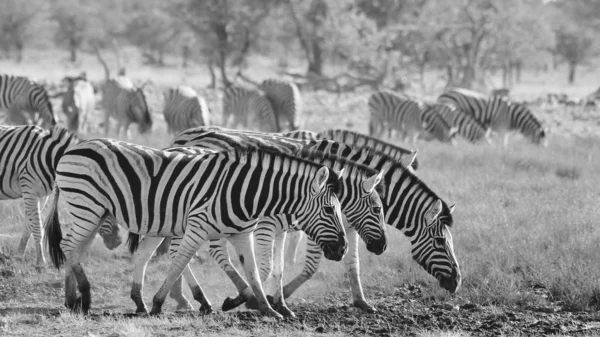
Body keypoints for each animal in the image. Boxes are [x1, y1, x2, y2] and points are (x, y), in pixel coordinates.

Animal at [0, 124, 120, 264]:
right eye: (105, 205)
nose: (118, 241)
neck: (50, 158)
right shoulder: (29, 189)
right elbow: (37, 226)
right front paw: (41, 261)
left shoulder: (41, 195)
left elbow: (28, 226)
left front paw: (19, 255)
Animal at [45, 140, 346, 318]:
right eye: (329, 210)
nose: (342, 249)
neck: (245, 191)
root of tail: (73, 148)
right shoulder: (198, 225)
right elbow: (179, 262)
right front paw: (158, 304)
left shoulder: (242, 234)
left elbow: (254, 273)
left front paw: (267, 308)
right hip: (87, 205)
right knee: (68, 246)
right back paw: (85, 297)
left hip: (95, 212)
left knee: (79, 249)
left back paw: (76, 300)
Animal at [158, 125, 384, 316]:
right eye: (377, 209)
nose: (382, 246)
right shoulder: (266, 226)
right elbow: (267, 267)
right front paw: (250, 300)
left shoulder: (283, 229)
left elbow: (280, 267)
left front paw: (280, 304)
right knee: (188, 250)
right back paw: (193, 299)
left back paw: (189, 299)